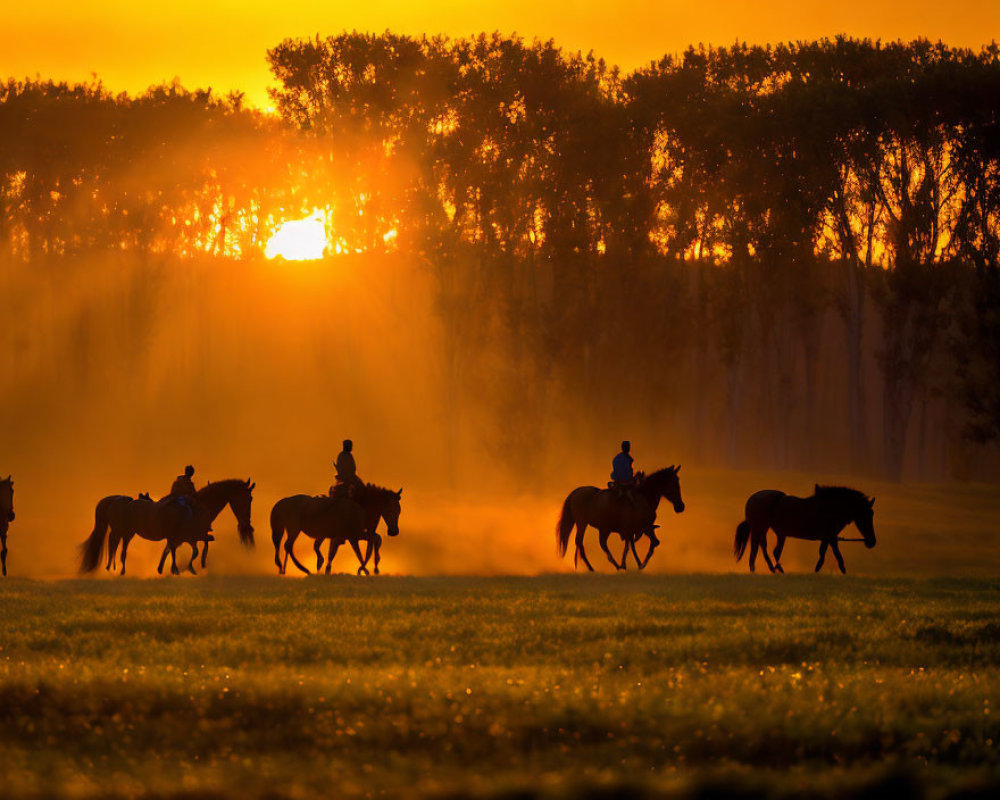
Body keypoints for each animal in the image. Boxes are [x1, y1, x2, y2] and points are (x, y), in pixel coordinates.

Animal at [80, 494, 215, 576]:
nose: (210, 535)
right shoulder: (176, 537)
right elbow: (174, 552)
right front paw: (175, 569)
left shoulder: (183, 538)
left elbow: (182, 551)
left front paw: (167, 569)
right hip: (121, 532)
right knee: (113, 545)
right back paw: (113, 567)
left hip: (126, 533)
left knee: (118, 548)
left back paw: (115, 568)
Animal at [556, 466, 688, 572]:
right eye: (674, 484)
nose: (681, 506)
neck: (644, 497)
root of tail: (574, 493)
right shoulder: (642, 528)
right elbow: (645, 544)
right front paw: (639, 564)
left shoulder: (636, 529)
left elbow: (632, 545)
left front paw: (633, 563)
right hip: (582, 523)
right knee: (580, 542)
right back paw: (592, 568)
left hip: (600, 528)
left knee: (600, 544)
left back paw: (613, 565)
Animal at [736, 484, 876, 572]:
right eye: (865, 515)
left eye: (872, 514)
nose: (872, 542)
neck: (830, 508)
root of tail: (751, 499)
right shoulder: (831, 537)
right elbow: (837, 555)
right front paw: (842, 571)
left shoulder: (828, 537)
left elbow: (823, 553)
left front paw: (817, 570)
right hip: (761, 528)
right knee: (763, 548)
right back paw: (770, 568)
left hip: (767, 530)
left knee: (763, 547)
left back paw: (767, 568)